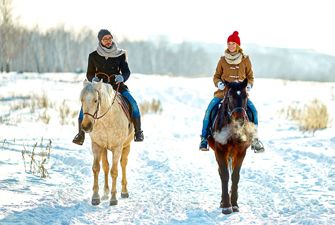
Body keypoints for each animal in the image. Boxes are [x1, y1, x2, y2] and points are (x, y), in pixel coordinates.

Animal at [207, 78, 258, 214]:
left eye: (246, 95)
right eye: (230, 96)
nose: (239, 119)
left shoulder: (241, 152)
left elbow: (235, 176)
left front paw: (234, 204)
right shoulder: (220, 150)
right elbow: (225, 175)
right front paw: (226, 205)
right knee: (221, 172)